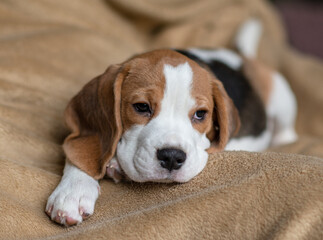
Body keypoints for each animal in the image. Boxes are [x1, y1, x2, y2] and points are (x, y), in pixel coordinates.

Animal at [45, 19, 298, 226]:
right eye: (141, 107)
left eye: (200, 114)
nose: (172, 157)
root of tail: (240, 56)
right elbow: (81, 152)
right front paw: (73, 190)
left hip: (282, 100)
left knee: (286, 132)